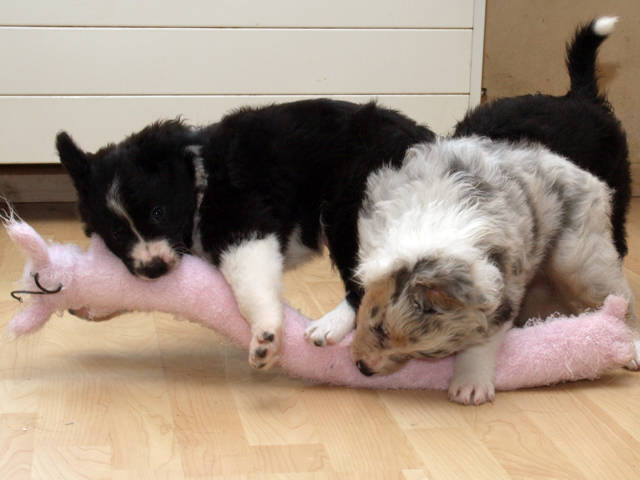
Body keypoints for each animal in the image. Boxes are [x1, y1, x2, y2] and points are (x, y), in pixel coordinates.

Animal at [56, 99, 434, 369]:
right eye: (116, 233)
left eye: (157, 212)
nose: (154, 269)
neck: (199, 183)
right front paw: (91, 304)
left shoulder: (245, 225)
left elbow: (250, 285)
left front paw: (266, 335)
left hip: (349, 212)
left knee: (368, 278)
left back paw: (330, 326)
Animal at [350, 136, 638, 405]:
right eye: (380, 329)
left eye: (421, 354)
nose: (363, 369)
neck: (437, 216)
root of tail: (585, 174)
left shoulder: (507, 286)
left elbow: (483, 341)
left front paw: (470, 385)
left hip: (579, 259)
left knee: (618, 294)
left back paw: (632, 346)